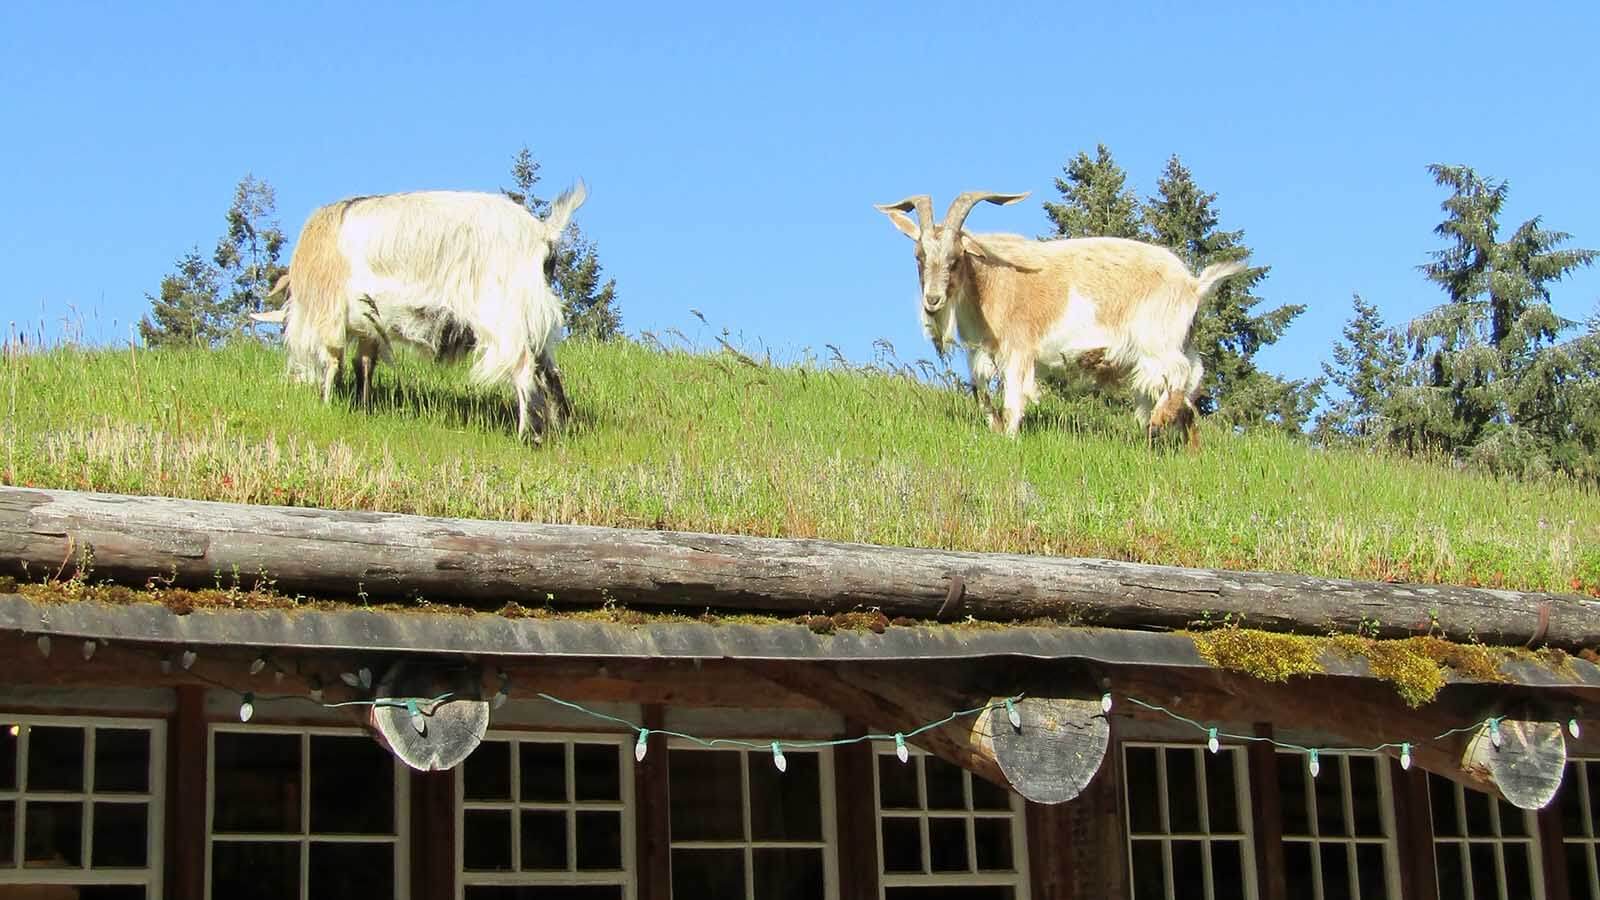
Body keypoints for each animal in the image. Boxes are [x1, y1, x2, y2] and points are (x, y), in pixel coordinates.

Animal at [256, 184, 588, 441]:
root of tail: (542, 233)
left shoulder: (331, 315)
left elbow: (333, 362)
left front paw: (326, 404)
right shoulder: (368, 325)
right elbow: (363, 364)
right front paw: (362, 407)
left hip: (504, 314)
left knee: (523, 368)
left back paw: (527, 435)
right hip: (533, 317)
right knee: (550, 372)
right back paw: (561, 427)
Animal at [883, 189, 1241, 445]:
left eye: (956, 259)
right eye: (919, 257)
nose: (932, 300)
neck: (989, 283)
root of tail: (1192, 285)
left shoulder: (1019, 350)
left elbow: (1014, 400)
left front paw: (1009, 439)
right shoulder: (980, 353)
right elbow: (981, 394)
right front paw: (995, 430)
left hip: (1159, 341)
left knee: (1180, 375)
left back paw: (1157, 422)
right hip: (1181, 342)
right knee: (1192, 389)